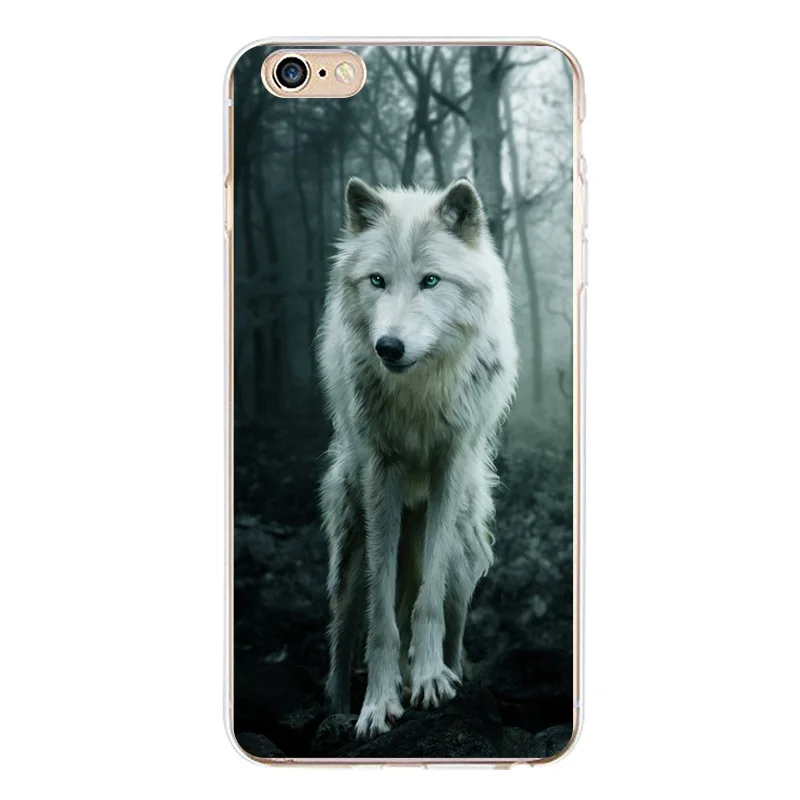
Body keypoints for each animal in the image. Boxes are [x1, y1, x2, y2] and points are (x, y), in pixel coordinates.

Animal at [317, 176, 518, 740]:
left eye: (431, 281)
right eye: (377, 281)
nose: (388, 346)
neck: (420, 390)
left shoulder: (449, 467)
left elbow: (426, 602)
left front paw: (428, 680)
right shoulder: (380, 474)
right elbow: (381, 615)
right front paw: (377, 703)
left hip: (465, 549)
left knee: (447, 613)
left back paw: (447, 675)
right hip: (350, 541)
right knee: (343, 629)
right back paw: (337, 710)